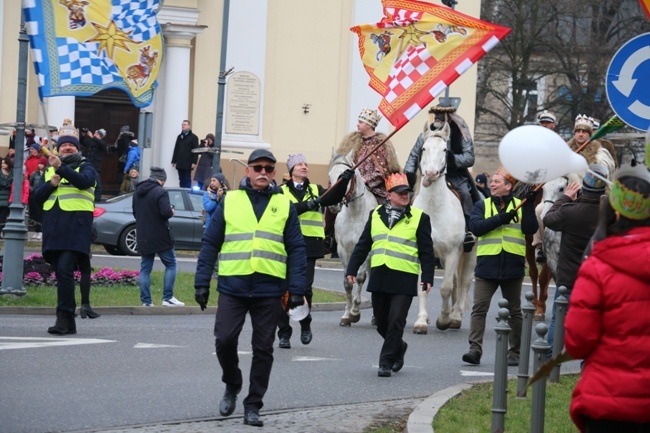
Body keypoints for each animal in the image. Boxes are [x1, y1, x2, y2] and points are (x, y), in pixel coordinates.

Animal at [326, 151, 378, 324]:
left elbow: (360, 277)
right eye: (330, 175)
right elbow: (347, 281)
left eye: (345, 176)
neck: (355, 213)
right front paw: (346, 315)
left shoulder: (365, 250)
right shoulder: (343, 250)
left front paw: (355, 312)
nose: (333, 205)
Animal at [410, 123, 476, 332]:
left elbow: (446, 287)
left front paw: (444, 319)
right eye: (423, 148)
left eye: (445, 150)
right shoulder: (424, 252)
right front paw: (421, 321)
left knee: (463, 282)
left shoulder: (453, 252)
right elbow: (423, 286)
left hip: (470, 253)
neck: (434, 210)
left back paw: (455, 316)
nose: (431, 174)